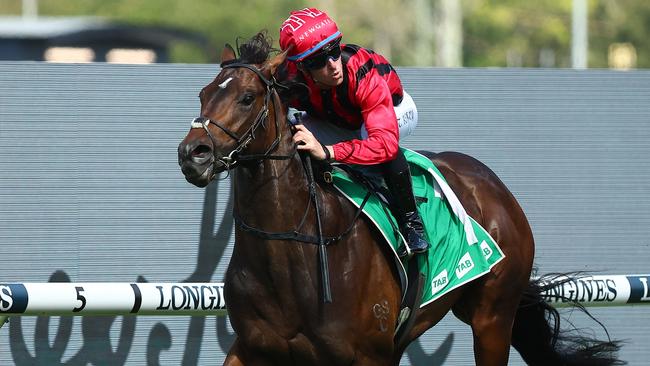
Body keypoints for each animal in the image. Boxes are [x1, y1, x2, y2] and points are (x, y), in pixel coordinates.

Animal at [176, 33, 616, 364]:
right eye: (202, 94)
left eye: (247, 98)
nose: (192, 153)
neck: (292, 249)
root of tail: (493, 184)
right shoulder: (252, 348)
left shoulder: (368, 355)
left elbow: (384, 144)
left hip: (493, 319)